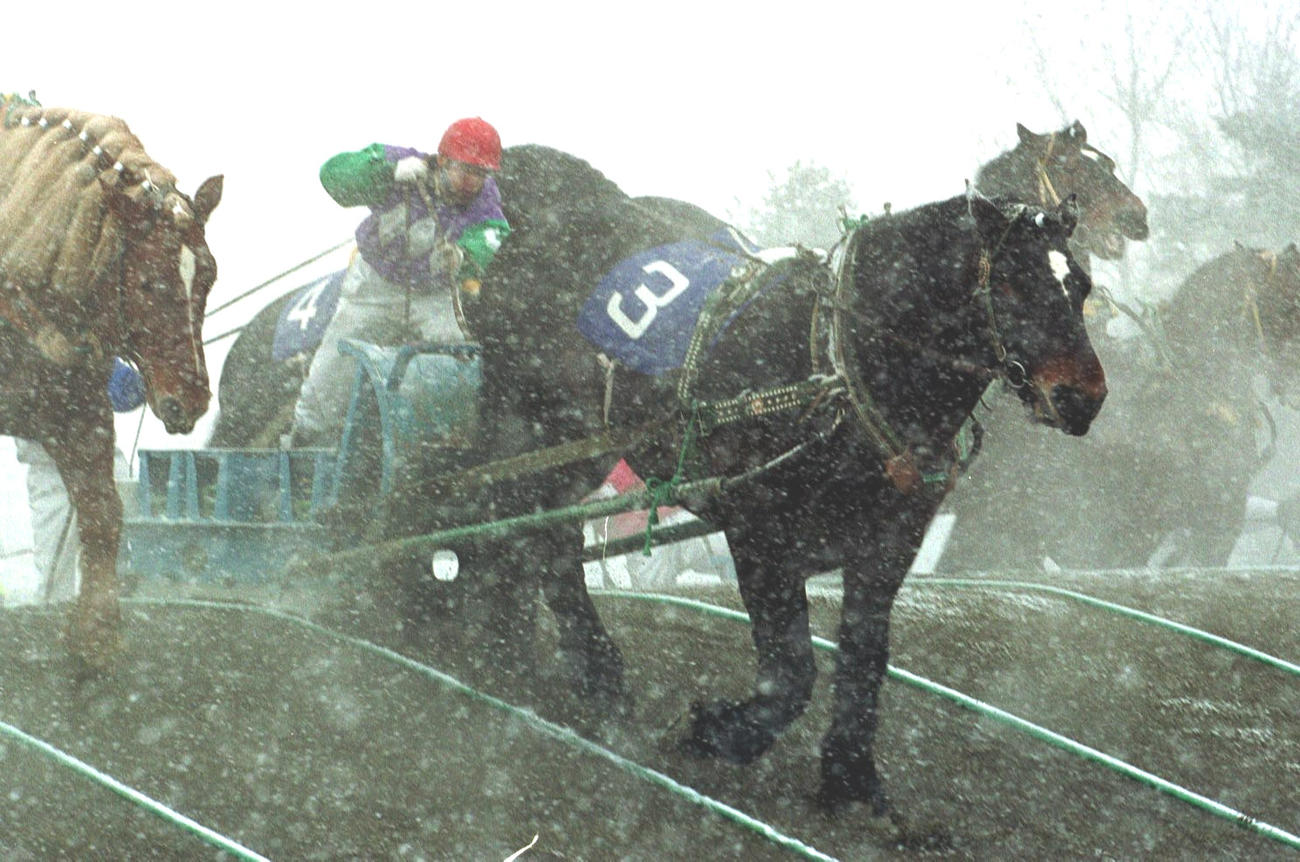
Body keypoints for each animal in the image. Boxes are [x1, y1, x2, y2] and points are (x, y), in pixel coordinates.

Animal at [0, 102, 222, 668]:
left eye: (207, 276)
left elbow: (102, 513)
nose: (190, 398)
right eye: (148, 283)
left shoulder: (74, 412)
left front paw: (95, 635)